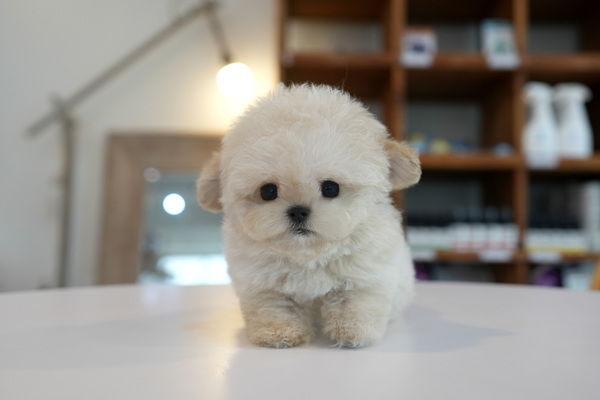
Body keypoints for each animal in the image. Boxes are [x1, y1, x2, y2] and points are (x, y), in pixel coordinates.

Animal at [197, 84, 421, 348]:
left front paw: (354, 332)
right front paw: (279, 333)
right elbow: (275, 307)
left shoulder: (365, 273)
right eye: (268, 191)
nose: (298, 211)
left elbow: (353, 301)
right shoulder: (262, 283)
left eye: (330, 188)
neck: (308, 256)